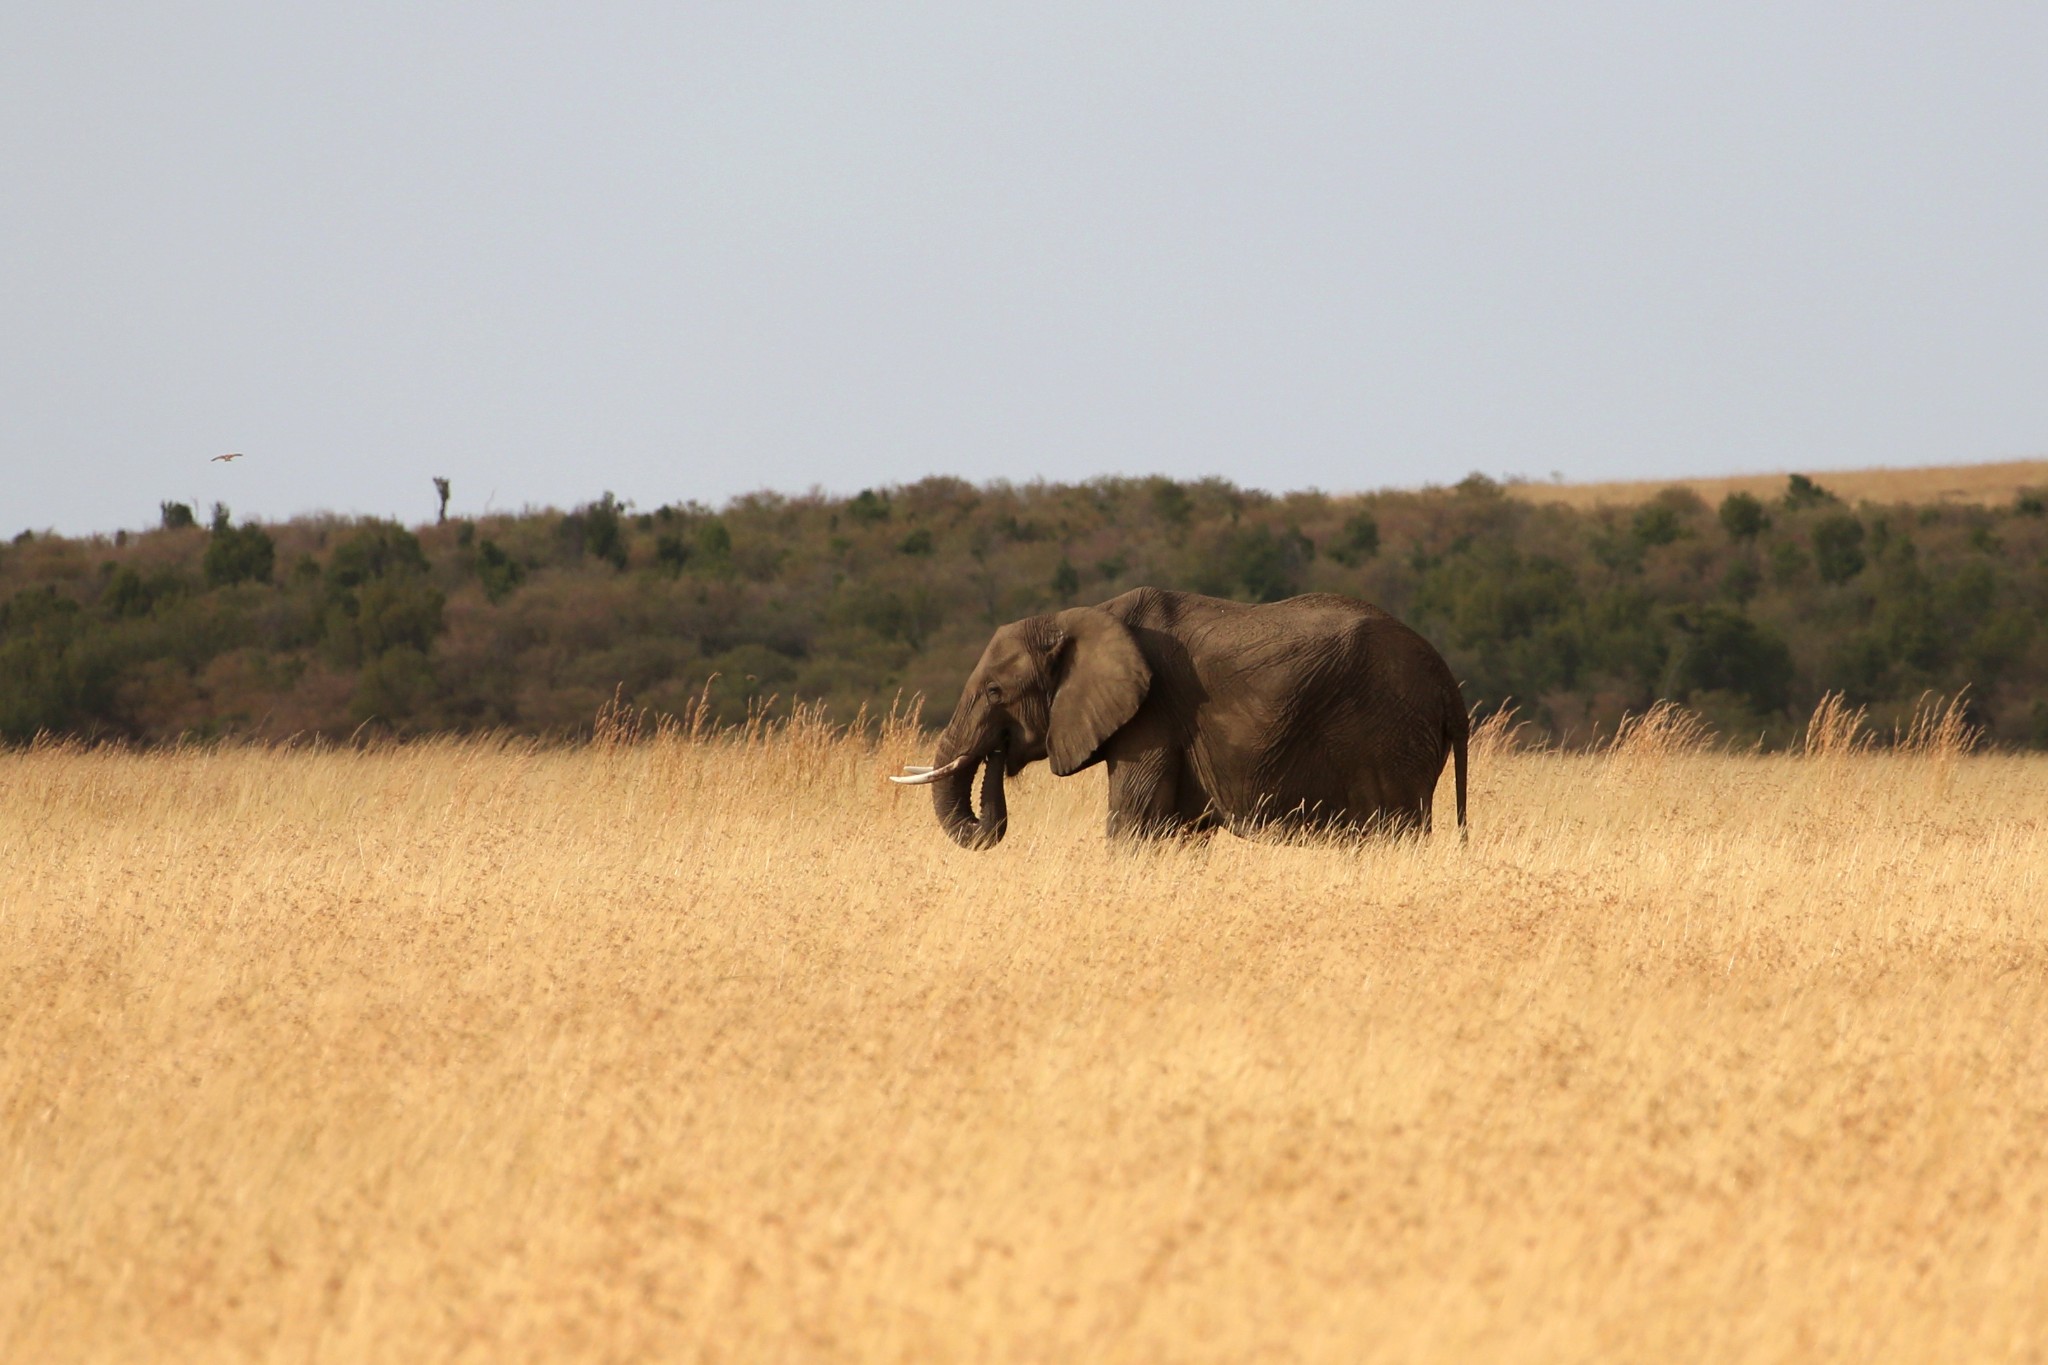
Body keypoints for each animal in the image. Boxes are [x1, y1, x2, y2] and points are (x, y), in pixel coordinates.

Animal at [888, 585, 1466, 847]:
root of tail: (1449, 686)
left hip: (1390, 736)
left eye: (994, 691)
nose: (999, 751)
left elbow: (1134, 822)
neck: (1076, 618)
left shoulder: (1152, 718)